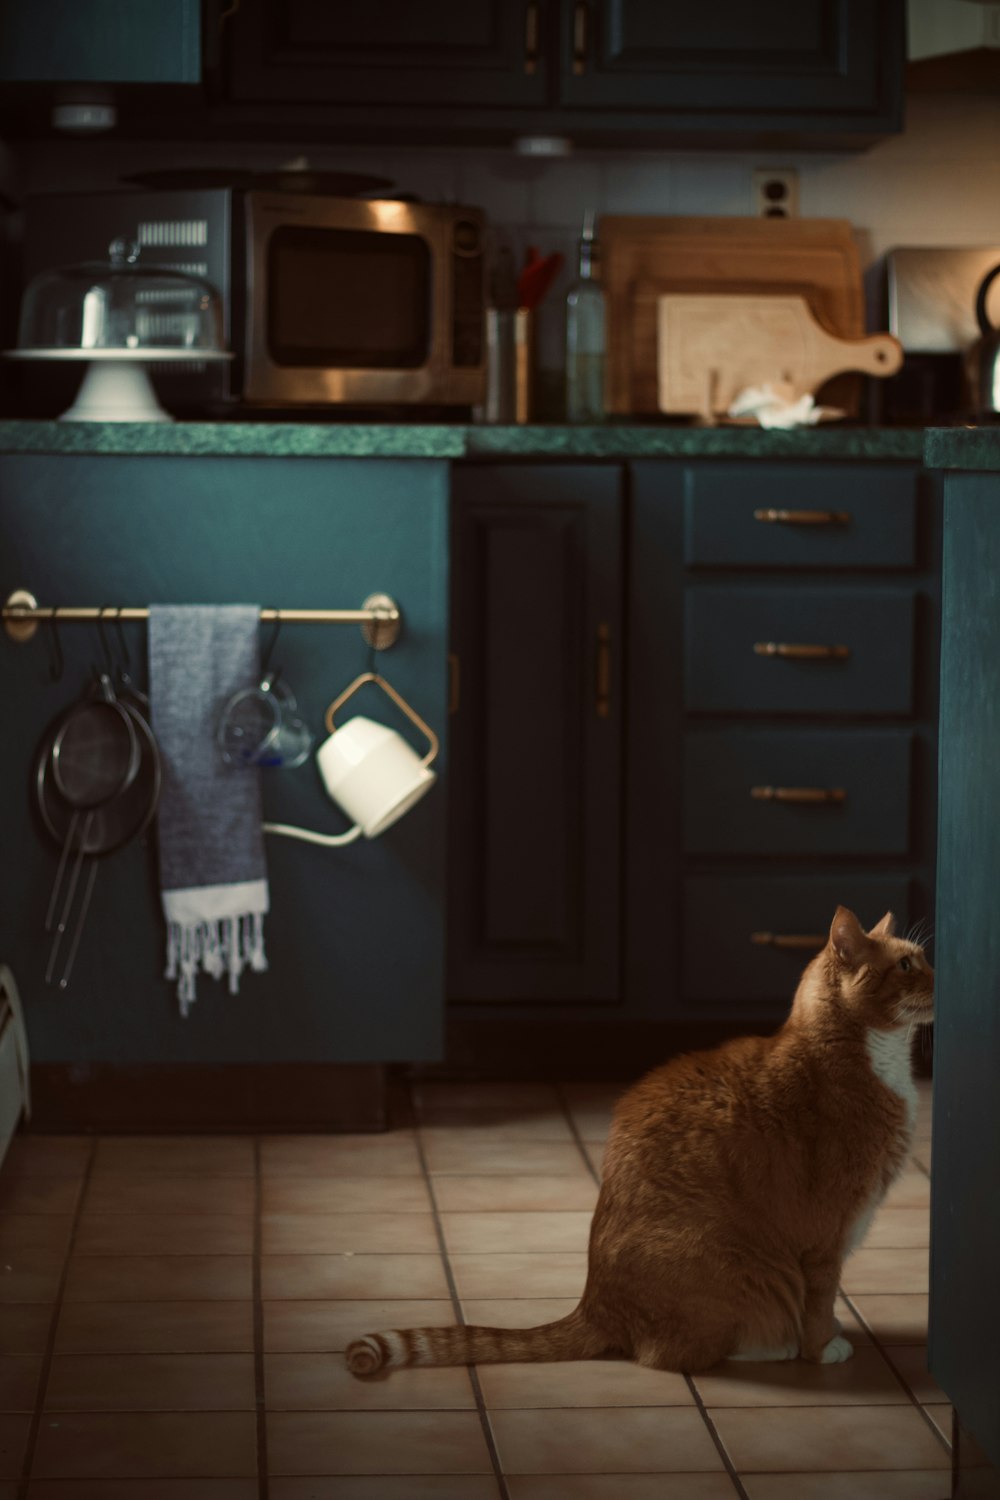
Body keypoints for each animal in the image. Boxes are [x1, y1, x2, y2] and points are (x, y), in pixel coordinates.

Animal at [347, 906, 935, 1374]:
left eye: (922, 958)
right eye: (907, 966)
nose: (942, 975)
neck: (869, 1059)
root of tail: (594, 1304)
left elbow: (826, 1304)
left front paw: (832, 1333)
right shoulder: (824, 1240)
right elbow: (819, 1304)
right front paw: (823, 1346)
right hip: (739, 1267)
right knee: (668, 1355)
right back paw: (771, 1345)